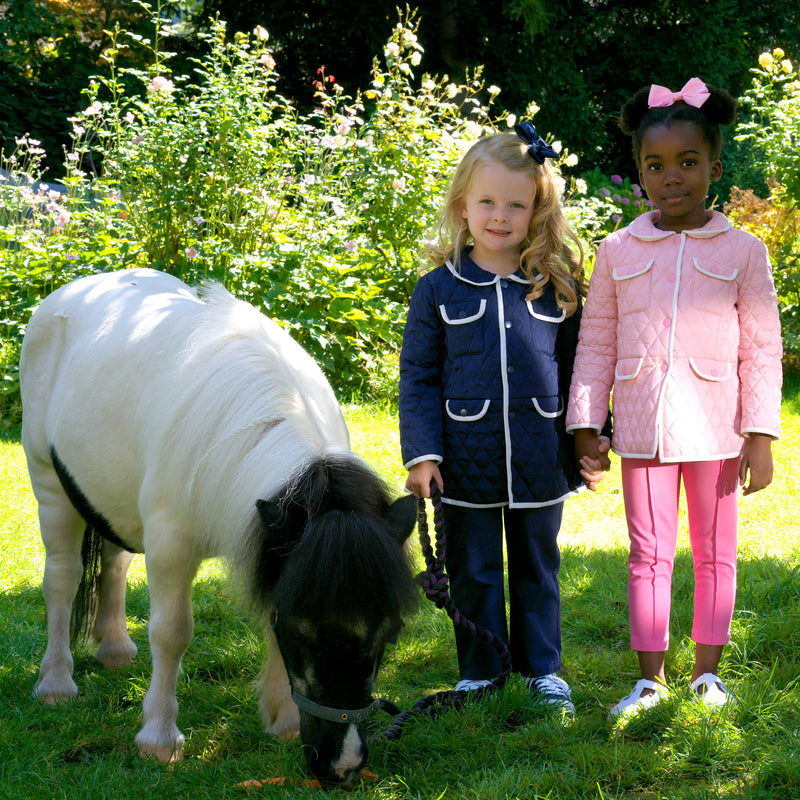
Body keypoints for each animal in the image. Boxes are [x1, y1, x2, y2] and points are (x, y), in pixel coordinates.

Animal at [19, 268, 418, 780]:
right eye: (303, 632)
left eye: (390, 632)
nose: (342, 766)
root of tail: (70, 292)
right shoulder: (171, 546)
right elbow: (171, 634)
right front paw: (158, 737)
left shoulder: (271, 542)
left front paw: (283, 719)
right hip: (49, 486)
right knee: (62, 581)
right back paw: (55, 683)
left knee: (114, 561)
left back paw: (115, 649)